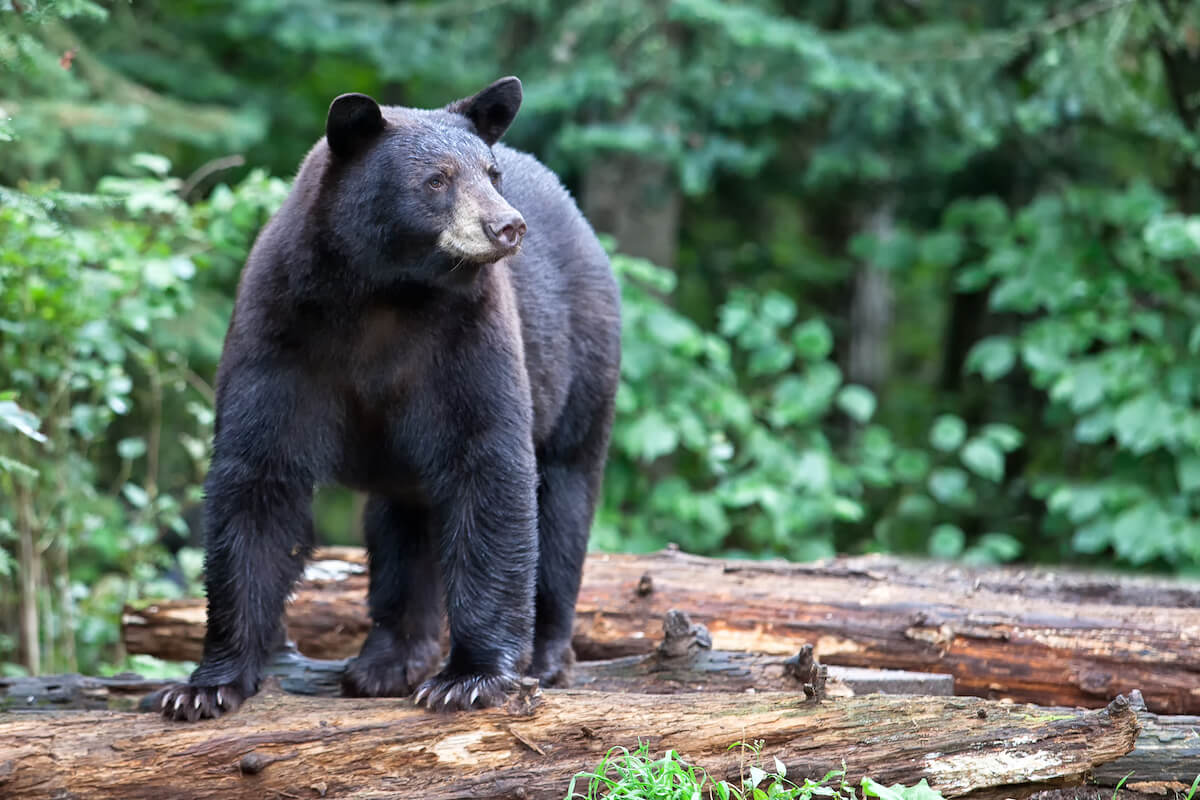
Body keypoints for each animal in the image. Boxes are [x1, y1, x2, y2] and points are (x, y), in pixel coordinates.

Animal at [159, 77, 624, 724]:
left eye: (492, 172)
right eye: (436, 180)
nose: (507, 226)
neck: (385, 293)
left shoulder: (468, 337)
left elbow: (489, 465)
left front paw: (471, 678)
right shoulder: (280, 332)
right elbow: (257, 478)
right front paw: (205, 685)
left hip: (581, 362)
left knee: (564, 496)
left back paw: (546, 654)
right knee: (403, 524)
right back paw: (388, 660)